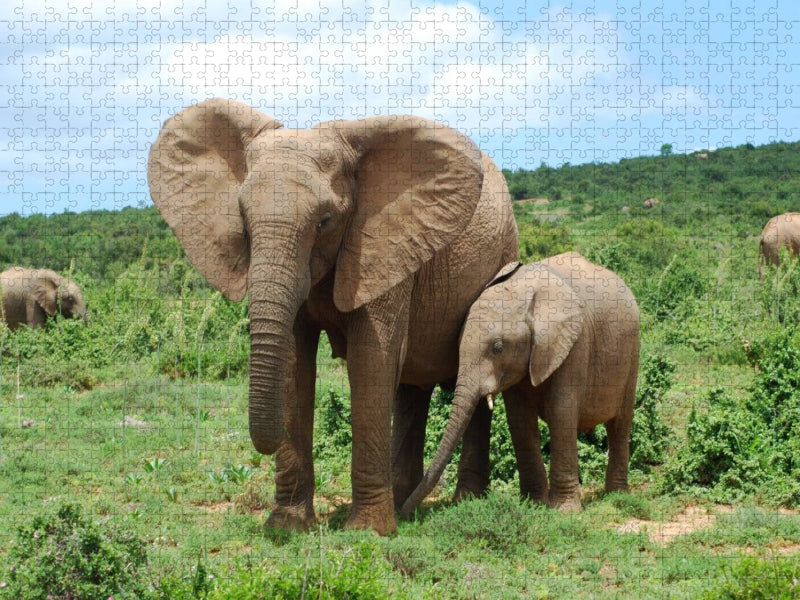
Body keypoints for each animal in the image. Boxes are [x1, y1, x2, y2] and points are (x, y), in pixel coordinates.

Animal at [147, 99, 519, 534]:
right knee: (412, 387)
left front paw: (367, 532)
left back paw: (461, 502)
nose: (263, 444)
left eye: (324, 222)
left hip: (504, 251)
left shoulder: (383, 244)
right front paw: (288, 526)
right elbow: (294, 364)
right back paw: (403, 500)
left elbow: (370, 362)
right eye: (242, 218)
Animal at [400, 252, 640, 516]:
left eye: (497, 348)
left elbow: (562, 412)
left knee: (620, 424)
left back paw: (617, 494)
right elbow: (519, 418)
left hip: (632, 350)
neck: (523, 292)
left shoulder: (575, 344)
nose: (404, 512)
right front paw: (534, 504)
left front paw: (564, 511)